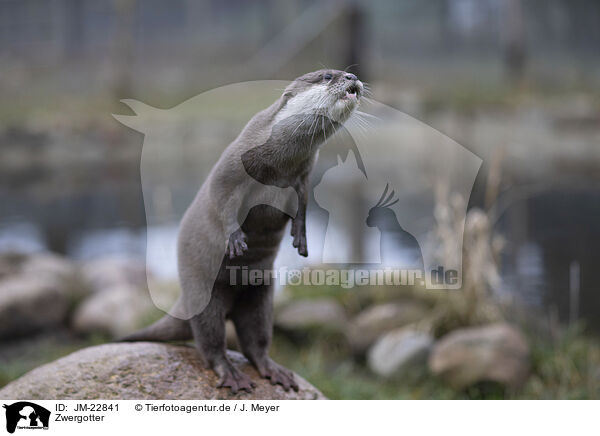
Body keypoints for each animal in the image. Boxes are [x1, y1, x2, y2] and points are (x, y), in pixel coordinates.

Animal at [120, 70, 364, 394]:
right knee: (211, 344)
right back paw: (231, 374)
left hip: (259, 296)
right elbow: (222, 198)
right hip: (204, 293)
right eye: (327, 75)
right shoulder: (231, 166)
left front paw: (301, 237)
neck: (279, 164)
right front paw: (235, 238)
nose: (352, 76)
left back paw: (273, 370)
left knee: (254, 342)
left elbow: (302, 206)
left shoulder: (303, 177)